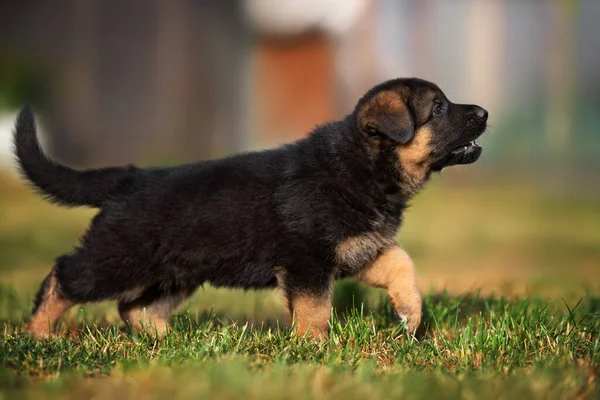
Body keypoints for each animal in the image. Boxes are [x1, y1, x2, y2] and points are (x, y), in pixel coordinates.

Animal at [12, 77, 488, 338]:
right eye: (438, 108)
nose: (484, 112)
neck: (363, 166)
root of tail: (129, 178)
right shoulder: (308, 262)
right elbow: (315, 309)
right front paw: (312, 347)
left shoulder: (358, 249)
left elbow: (402, 265)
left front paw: (410, 313)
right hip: (118, 258)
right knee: (64, 276)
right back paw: (38, 333)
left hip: (175, 273)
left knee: (136, 308)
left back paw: (171, 342)